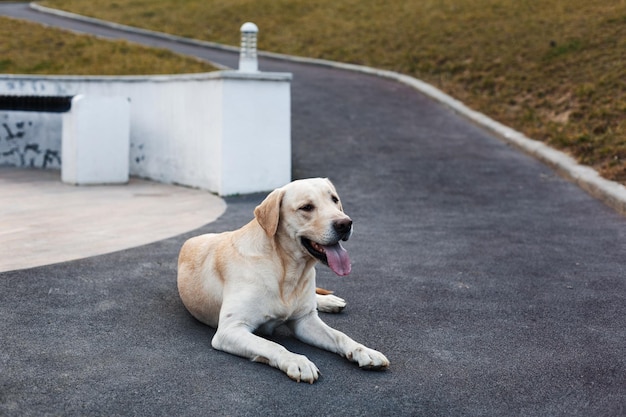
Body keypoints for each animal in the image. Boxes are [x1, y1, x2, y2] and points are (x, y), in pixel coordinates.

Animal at [176, 177, 388, 382]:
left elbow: (340, 336)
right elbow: (271, 345)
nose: (345, 223)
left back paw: (328, 301)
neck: (287, 269)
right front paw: (297, 361)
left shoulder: (305, 321)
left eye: (334, 199)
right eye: (306, 207)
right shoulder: (231, 329)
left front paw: (364, 351)